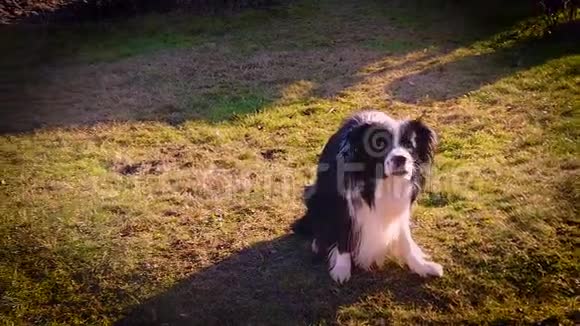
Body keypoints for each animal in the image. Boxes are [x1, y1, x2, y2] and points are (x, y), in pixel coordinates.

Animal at [294, 110, 444, 282]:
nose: (400, 158)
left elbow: (404, 237)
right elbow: (344, 234)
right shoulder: (343, 203)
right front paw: (341, 269)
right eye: (380, 145)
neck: (383, 181)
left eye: (409, 145)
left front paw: (421, 265)